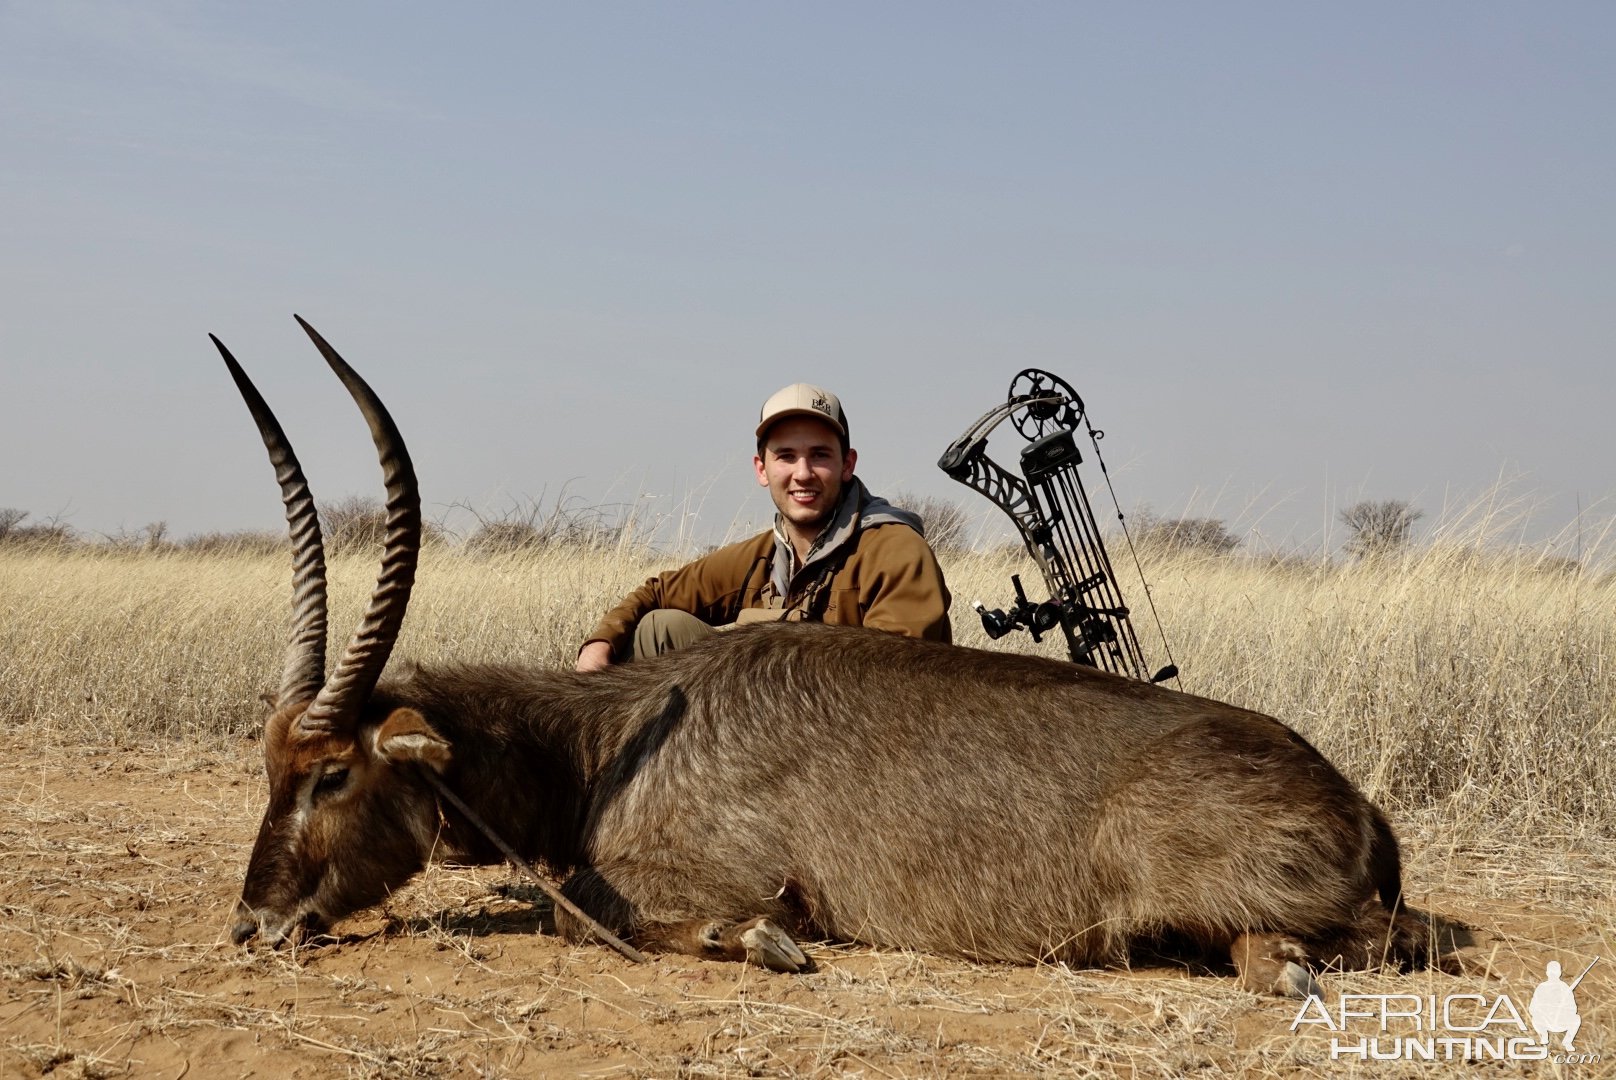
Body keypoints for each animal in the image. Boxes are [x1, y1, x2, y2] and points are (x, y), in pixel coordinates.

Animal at [218, 318, 1441, 995]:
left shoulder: (710, 871)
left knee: (1380, 938)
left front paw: (761, 941)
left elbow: (595, 906)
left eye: (334, 772)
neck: (605, 738)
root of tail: (1352, 800)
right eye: (270, 771)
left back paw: (1277, 966)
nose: (251, 924)